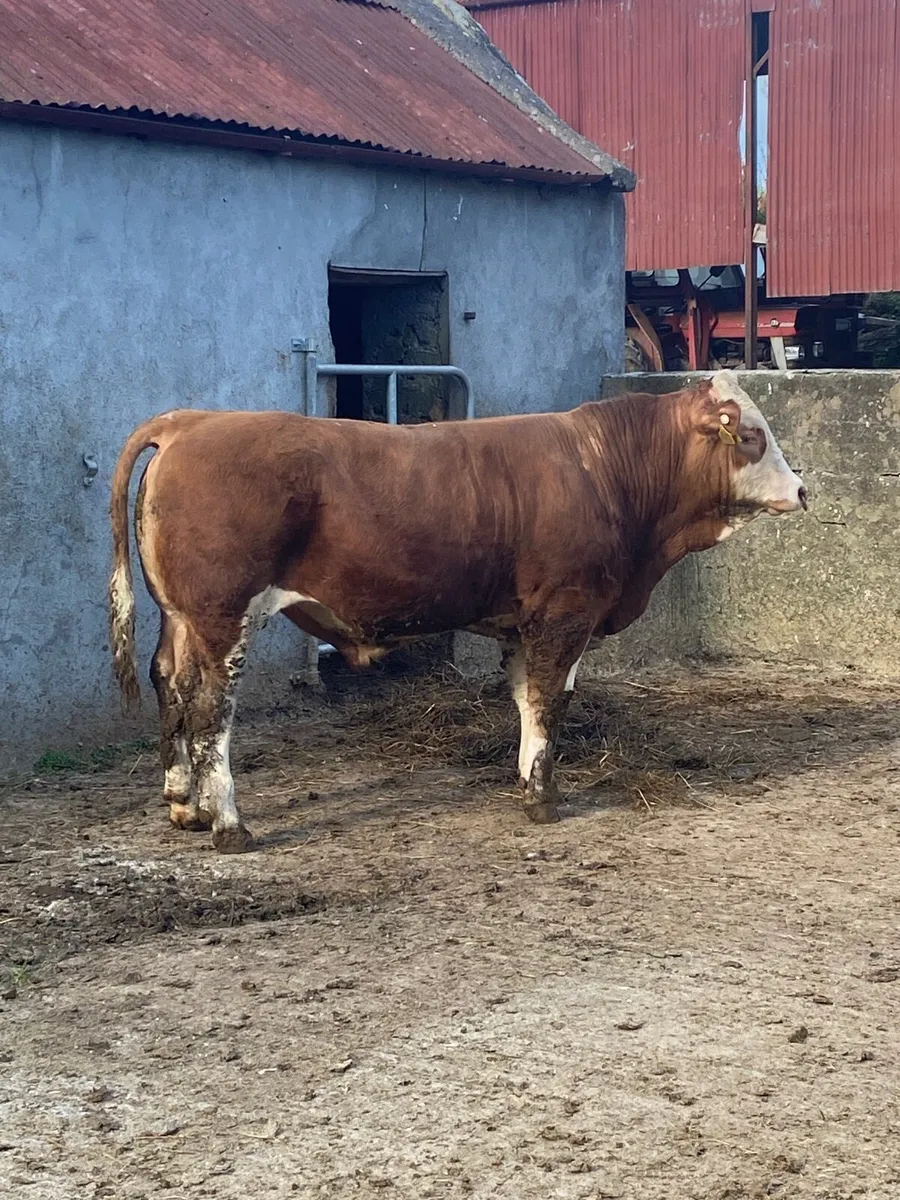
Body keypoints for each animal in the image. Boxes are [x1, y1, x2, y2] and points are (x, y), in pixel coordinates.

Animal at [108, 370, 806, 853]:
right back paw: (229, 825)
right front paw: (544, 800)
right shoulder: (566, 610)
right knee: (211, 714)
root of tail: (190, 421)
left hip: (180, 619)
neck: (605, 469)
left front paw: (530, 782)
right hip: (223, 618)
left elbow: (527, 701)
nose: (802, 489)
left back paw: (185, 806)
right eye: (751, 435)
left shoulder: (523, 622)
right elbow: (550, 701)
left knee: (169, 684)